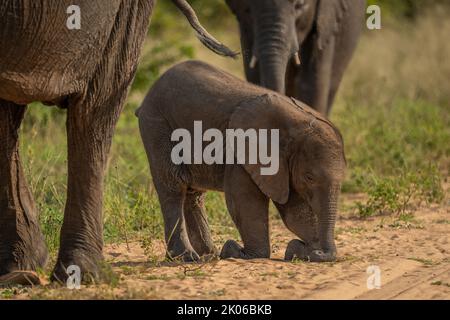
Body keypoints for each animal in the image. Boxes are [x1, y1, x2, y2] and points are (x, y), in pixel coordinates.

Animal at [139, 60, 346, 262]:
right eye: (309, 177)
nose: (320, 252)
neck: (298, 124)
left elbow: (295, 211)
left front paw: (302, 250)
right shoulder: (243, 154)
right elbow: (244, 202)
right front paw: (239, 252)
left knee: (193, 194)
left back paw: (208, 254)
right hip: (157, 125)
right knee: (173, 186)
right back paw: (186, 257)